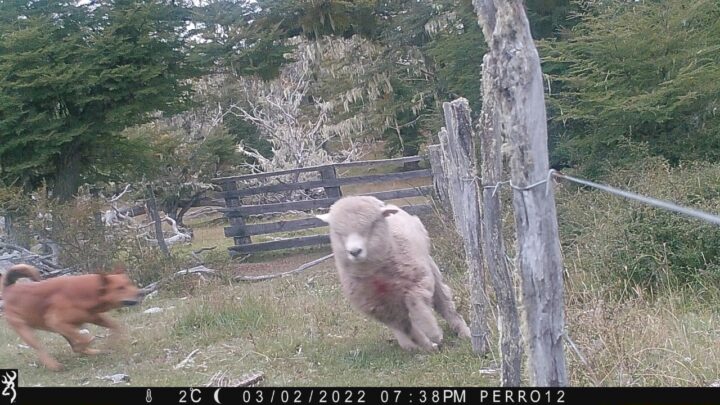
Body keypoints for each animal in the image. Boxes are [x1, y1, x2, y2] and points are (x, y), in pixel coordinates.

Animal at [0, 262, 143, 370]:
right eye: (120, 288)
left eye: (130, 283)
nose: (140, 292)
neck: (87, 292)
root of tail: (9, 289)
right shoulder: (56, 322)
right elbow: (86, 339)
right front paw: (86, 343)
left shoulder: (93, 317)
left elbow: (116, 326)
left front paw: (112, 341)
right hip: (27, 331)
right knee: (40, 348)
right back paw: (54, 365)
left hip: (61, 330)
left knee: (75, 346)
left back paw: (97, 352)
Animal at [316, 196, 472, 350]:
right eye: (338, 233)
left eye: (372, 225)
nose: (354, 252)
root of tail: (389, 205)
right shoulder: (383, 309)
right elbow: (408, 329)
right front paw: (428, 346)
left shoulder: (417, 283)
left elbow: (416, 305)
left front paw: (433, 334)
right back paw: (409, 345)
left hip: (429, 266)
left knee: (443, 301)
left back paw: (463, 331)